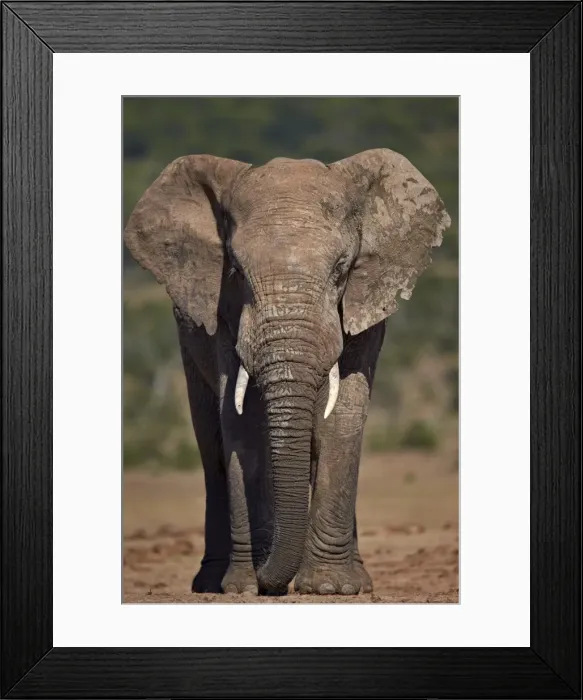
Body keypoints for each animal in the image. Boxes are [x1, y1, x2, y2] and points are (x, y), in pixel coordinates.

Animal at [124, 149, 450, 596]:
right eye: (236, 271)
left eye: (341, 270)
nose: (271, 580)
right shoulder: (222, 316)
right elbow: (240, 424)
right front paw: (246, 587)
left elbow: (342, 418)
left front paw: (331, 589)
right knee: (211, 447)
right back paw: (210, 583)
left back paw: (355, 580)